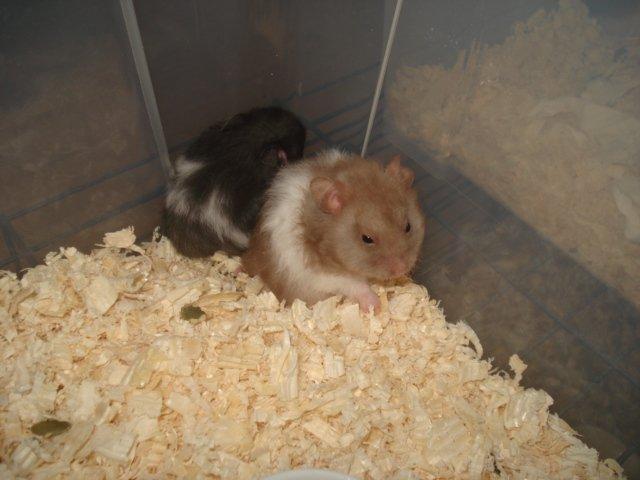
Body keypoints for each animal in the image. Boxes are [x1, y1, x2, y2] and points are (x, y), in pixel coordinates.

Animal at [242, 149, 426, 313]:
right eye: (366, 238)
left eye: (408, 226)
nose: (401, 269)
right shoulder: (323, 275)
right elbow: (355, 285)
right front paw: (375, 307)